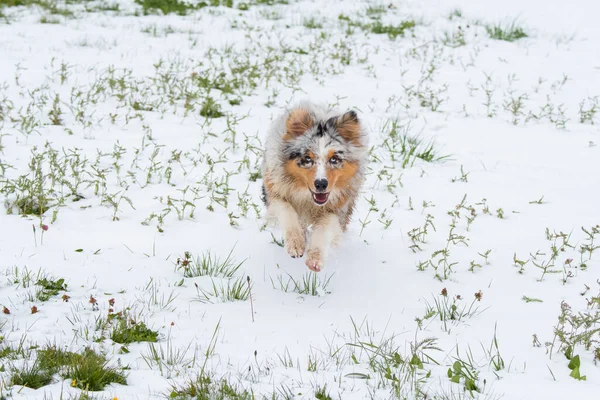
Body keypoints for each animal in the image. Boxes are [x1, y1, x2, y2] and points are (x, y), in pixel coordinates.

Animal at [262, 101, 368, 274]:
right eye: (307, 158)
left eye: (334, 159)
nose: (321, 184)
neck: (307, 197)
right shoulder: (274, 192)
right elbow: (287, 211)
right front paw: (296, 244)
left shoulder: (338, 208)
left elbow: (323, 228)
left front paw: (314, 260)